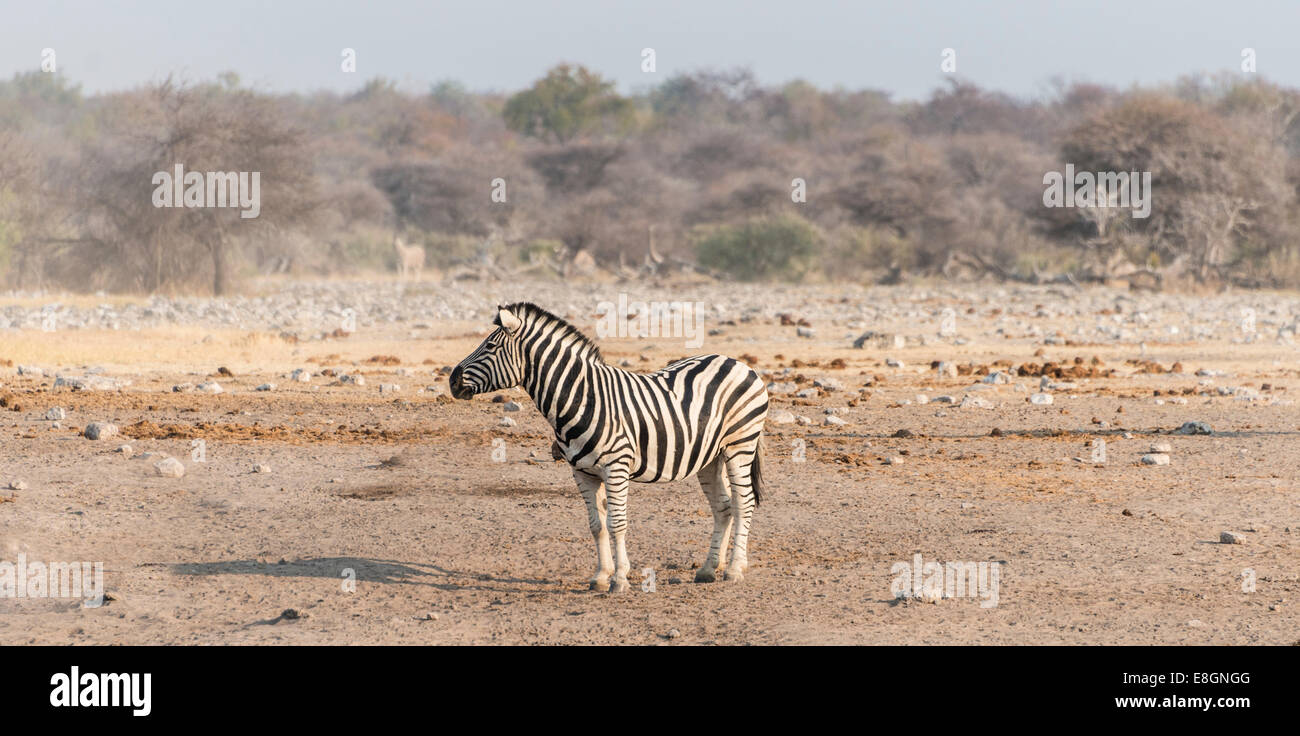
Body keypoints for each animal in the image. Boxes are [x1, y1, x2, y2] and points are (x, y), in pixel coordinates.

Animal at [449, 302, 764, 590]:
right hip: (711, 457)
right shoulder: (582, 473)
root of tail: (737, 362)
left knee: (743, 503)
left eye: (490, 346)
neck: (582, 399)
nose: (452, 381)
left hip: (740, 446)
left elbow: (617, 523)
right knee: (723, 507)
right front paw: (601, 576)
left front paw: (620, 579)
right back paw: (709, 569)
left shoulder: (616, 467)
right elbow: (597, 526)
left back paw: (734, 569)